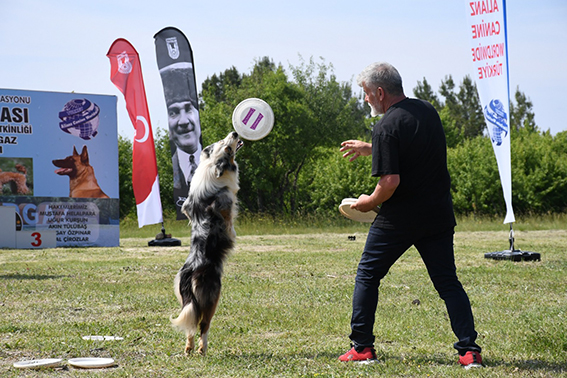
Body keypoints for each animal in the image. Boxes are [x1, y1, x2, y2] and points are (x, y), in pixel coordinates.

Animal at [173, 131, 244, 356]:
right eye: (226, 146)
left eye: (221, 140)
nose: (235, 132)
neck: (211, 165)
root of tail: (189, 273)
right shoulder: (226, 205)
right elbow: (229, 219)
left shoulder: (187, 205)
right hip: (212, 297)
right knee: (203, 324)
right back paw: (202, 349)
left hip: (185, 301)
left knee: (190, 324)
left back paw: (188, 349)